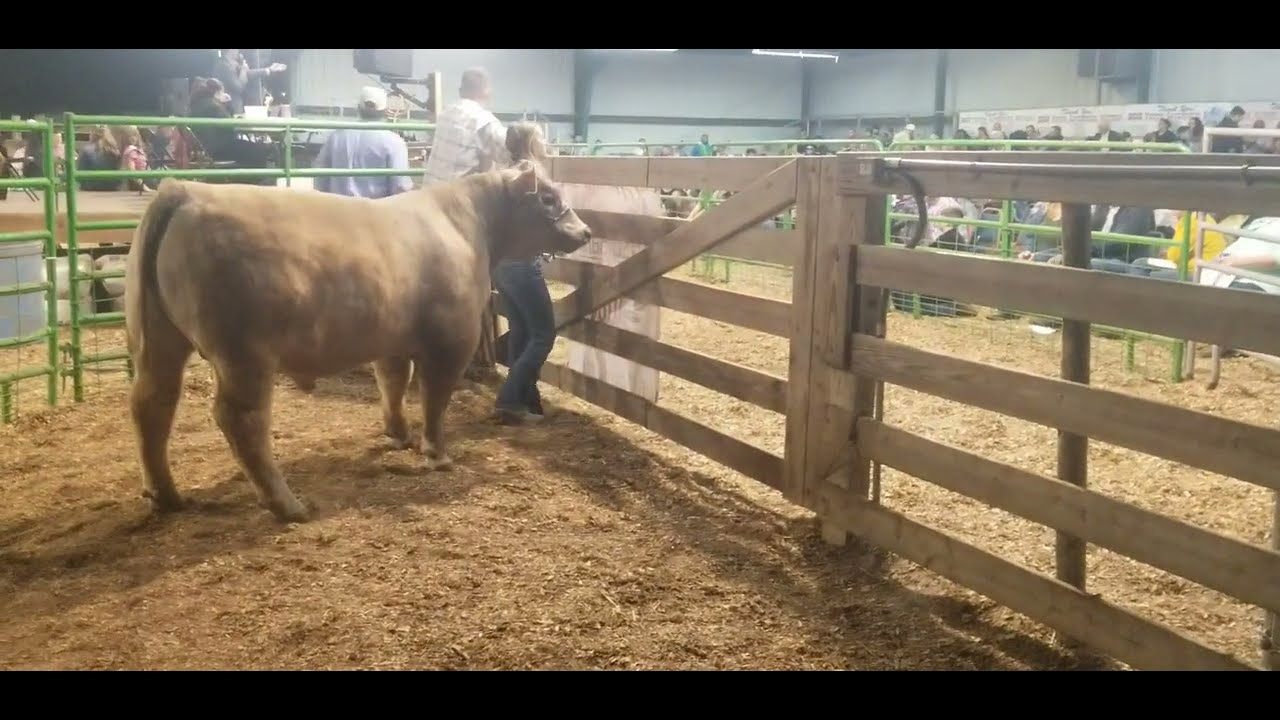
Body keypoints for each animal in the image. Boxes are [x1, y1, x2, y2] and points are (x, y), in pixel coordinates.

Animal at [124, 159, 591, 522]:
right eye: (548, 198)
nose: (585, 232)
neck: (465, 226)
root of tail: (185, 190)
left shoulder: (393, 337)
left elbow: (392, 383)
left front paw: (398, 435)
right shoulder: (450, 341)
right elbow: (434, 397)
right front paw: (436, 453)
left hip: (158, 339)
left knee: (152, 403)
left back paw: (166, 496)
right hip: (244, 354)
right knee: (241, 419)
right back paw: (287, 505)